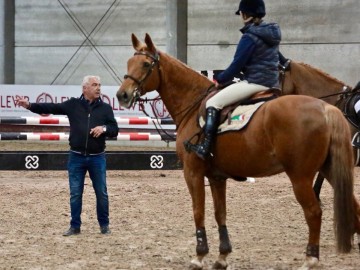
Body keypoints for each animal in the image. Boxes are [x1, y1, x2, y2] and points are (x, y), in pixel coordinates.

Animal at [116, 33, 358, 270]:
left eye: (146, 64)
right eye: (128, 63)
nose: (122, 96)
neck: (193, 104)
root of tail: (325, 108)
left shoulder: (193, 172)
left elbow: (198, 211)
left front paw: (199, 256)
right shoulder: (216, 177)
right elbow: (219, 213)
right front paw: (222, 256)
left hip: (300, 177)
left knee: (314, 212)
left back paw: (310, 259)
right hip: (329, 170)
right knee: (354, 206)